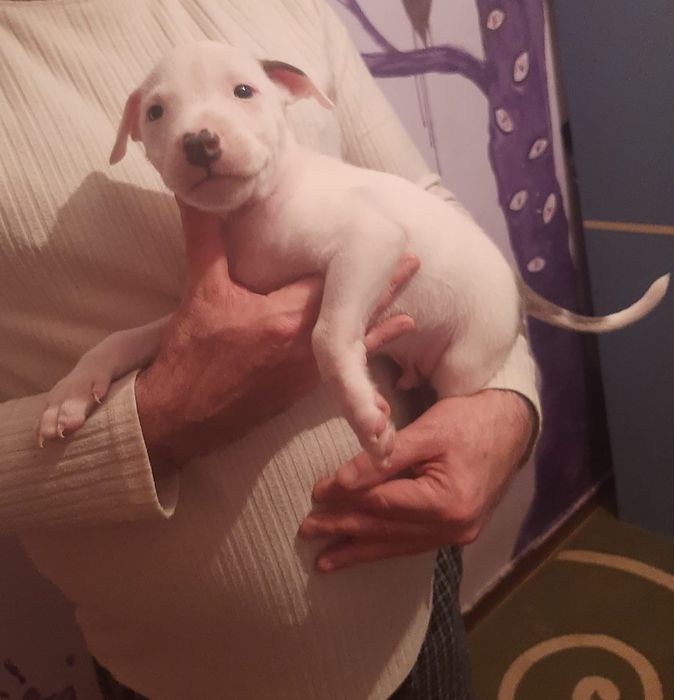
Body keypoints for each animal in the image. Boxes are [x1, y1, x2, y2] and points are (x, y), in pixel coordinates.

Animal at [37, 41, 670, 459]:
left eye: (244, 91)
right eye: (155, 113)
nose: (198, 142)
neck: (256, 207)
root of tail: (517, 285)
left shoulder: (371, 243)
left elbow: (326, 332)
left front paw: (365, 414)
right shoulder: (207, 309)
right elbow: (120, 339)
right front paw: (69, 396)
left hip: (467, 359)